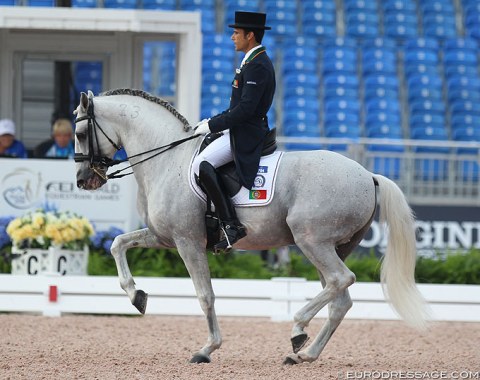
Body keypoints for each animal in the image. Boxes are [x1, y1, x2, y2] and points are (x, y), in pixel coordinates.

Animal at [74, 89, 428, 366]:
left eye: (79, 134)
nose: (83, 180)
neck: (167, 160)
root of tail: (368, 174)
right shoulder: (164, 237)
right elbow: (118, 243)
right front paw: (137, 296)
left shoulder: (188, 242)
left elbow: (205, 295)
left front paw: (207, 349)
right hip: (334, 246)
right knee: (340, 298)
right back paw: (305, 354)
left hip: (311, 240)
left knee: (342, 280)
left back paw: (298, 329)